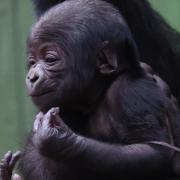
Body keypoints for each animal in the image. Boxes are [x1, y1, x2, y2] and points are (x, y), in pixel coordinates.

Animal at [0, 0, 180, 179]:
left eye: (50, 59)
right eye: (32, 62)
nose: (32, 77)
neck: (100, 92)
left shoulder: (131, 92)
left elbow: (152, 151)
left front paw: (60, 140)